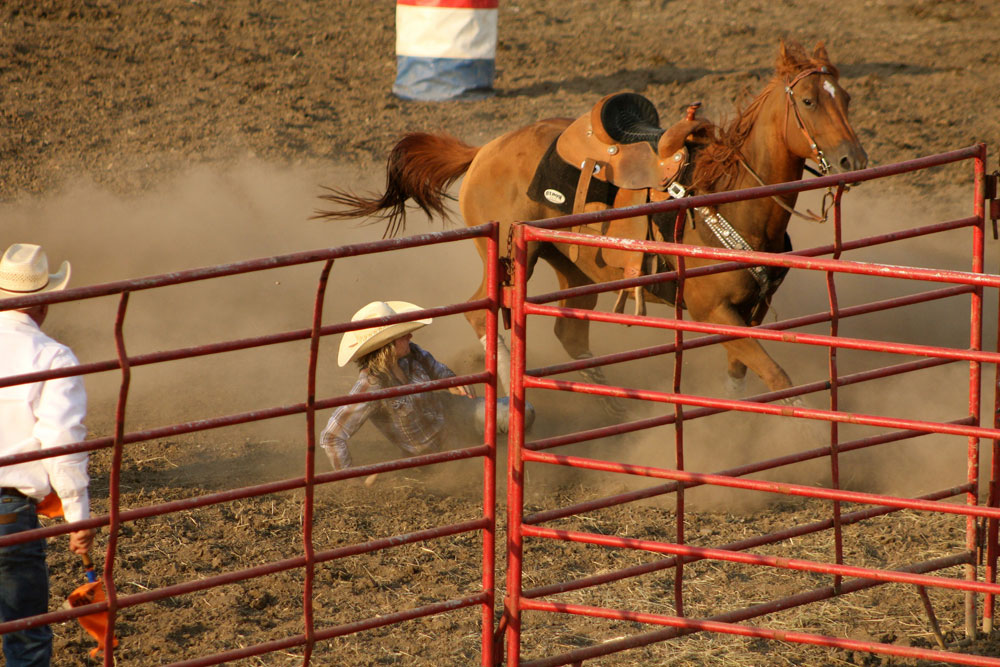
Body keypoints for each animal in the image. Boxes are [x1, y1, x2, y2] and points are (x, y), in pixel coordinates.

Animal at [318, 41, 868, 412]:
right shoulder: (712, 312)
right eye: (810, 102)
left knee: (569, 331)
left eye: (846, 97)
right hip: (511, 256)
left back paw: (611, 405)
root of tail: (485, 148)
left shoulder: (748, 311)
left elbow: (742, 375)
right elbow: (777, 376)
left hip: (576, 269)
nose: (853, 158)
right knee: (483, 312)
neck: (731, 200)